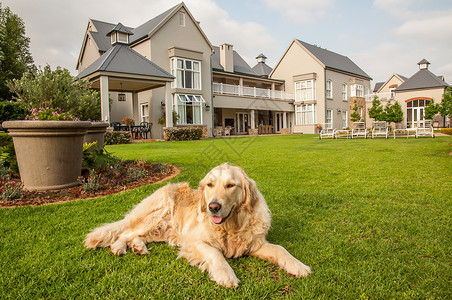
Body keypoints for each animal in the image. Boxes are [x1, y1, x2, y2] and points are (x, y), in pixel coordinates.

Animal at [85, 163, 310, 288]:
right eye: (210, 185)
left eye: (231, 185)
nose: (213, 206)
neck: (231, 226)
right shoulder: (194, 241)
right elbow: (215, 254)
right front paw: (225, 275)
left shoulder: (253, 243)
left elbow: (280, 249)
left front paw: (298, 265)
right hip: (157, 214)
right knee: (125, 232)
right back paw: (119, 247)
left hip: (161, 229)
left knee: (135, 235)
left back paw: (138, 247)